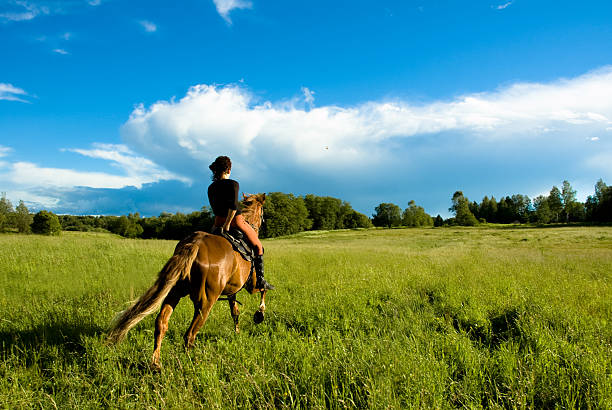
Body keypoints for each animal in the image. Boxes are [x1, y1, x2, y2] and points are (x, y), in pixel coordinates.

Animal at [107, 194, 268, 370]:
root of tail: (195, 244)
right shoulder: (251, 285)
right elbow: (263, 289)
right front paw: (260, 313)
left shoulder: (232, 291)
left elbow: (235, 312)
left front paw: (237, 331)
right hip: (205, 303)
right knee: (189, 335)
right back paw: (192, 364)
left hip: (174, 292)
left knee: (161, 323)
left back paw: (156, 363)